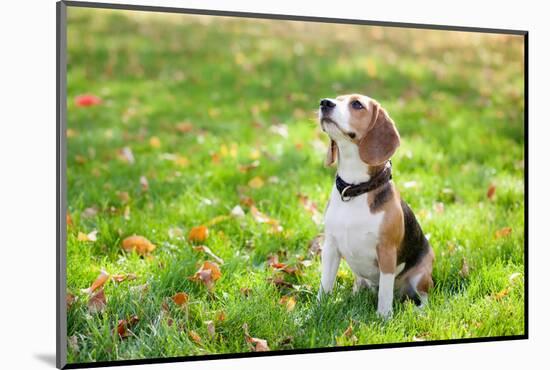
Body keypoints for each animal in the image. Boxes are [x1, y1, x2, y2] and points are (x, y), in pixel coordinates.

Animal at [320, 94, 436, 318]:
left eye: (357, 104)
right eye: (337, 99)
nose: (324, 103)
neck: (354, 189)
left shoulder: (387, 251)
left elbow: (385, 292)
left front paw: (383, 317)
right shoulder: (330, 247)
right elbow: (325, 284)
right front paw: (316, 309)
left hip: (421, 276)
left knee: (424, 296)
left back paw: (419, 310)